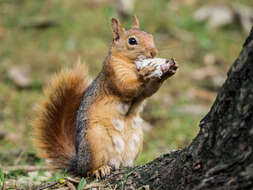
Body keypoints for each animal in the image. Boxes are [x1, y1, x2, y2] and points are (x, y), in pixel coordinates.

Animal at [32, 15, 178, 178]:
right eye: (132, 41)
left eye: (151, 36)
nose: (154, 52)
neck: (131, 64)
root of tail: (78, 163)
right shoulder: (112, 73)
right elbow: (125, 86)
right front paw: (145, 72)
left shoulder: (143, 90)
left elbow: (148, 91)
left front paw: (168, 71)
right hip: (94, 141)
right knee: (87, 170)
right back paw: (99, 169)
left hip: (136, 139)